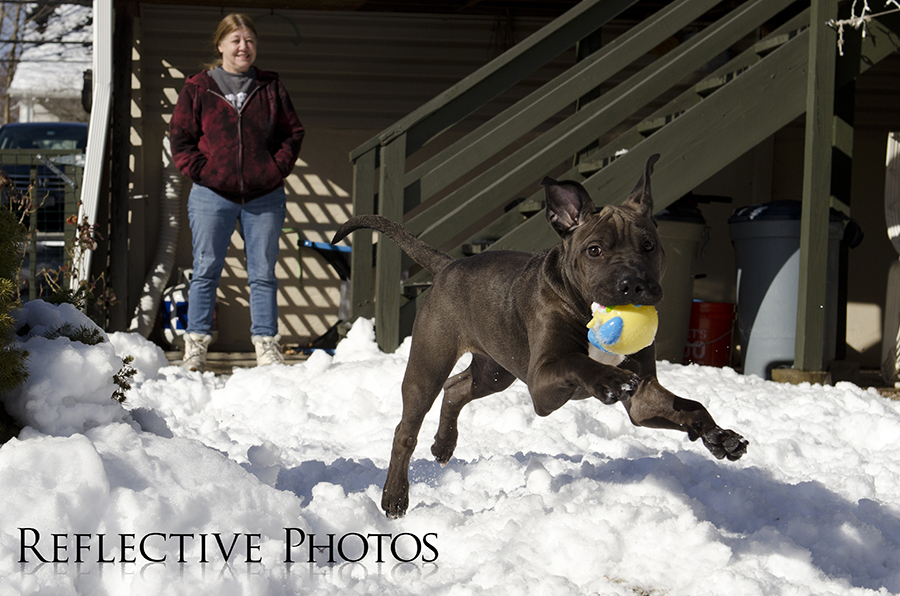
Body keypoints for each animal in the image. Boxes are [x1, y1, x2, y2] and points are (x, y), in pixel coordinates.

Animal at [334, 156, 748, 520]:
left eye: (648, 246)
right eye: (594, 250)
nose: (633, 285)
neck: (584, 306)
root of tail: (449, 264)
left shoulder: (644, 396)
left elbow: (692, 406)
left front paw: (720, 437)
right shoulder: (542, 384)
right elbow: (577, 360)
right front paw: (609, 378)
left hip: (494, 371)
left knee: (456, 388)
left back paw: (443, 443)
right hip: (429, 362)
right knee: (406, 429)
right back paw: (394, 497)